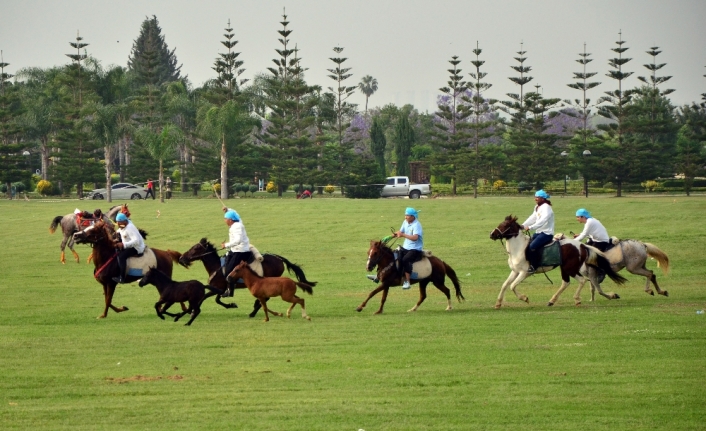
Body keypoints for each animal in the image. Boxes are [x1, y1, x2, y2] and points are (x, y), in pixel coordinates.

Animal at [177, 240, 318, 318]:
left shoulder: (218, 288)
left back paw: (253, 312)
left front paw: (192, 311)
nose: (181, 258)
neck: (217, 266)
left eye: (195, 248)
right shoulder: (220, 289)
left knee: (266, 298)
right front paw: (231, 305)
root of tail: (278, 258)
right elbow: (216, 299)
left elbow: (207, 297)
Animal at [486, 215, 624, 308]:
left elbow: (512, 286)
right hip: (565, 268)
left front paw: (525, 298)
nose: (492, 234)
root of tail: (581, 245)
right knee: (567, 283)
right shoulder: (515, 272)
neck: (518, 248)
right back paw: (553, 300)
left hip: (570, 268)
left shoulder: (525, 273)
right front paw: (498, 303)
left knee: (581, 280)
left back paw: (576, 299)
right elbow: (505, 285)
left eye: (504, 225)